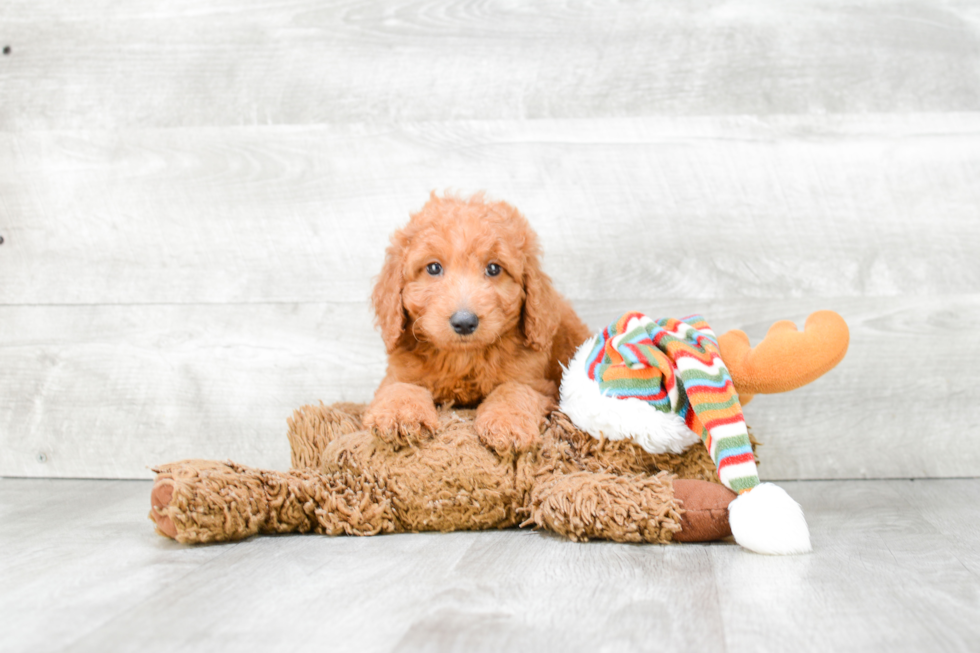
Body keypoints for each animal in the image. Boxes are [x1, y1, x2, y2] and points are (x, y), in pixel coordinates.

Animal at [362, 191, 584, 450]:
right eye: (433, 268)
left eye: (494, 269)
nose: (465, 322)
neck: (463, 359)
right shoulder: (397, 373)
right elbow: (400, 387)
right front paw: (400, 415)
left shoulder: (536, 382)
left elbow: (513, 390)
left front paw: (506, 423)